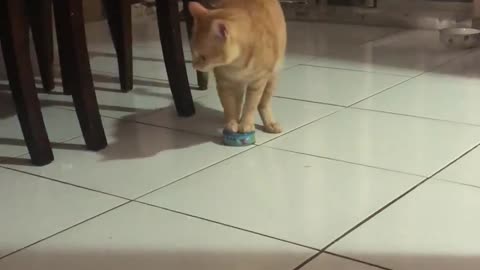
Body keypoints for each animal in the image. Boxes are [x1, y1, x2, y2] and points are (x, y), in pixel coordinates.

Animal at [188, 0, 284, 134]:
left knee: (262, 104)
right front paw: (232, 123)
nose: (193, 65)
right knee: (238, 104)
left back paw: (269, 123)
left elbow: (251, 105)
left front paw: (246, 124)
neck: (236, 65)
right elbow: (230, 107)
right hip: (238, 86)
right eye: (192, 52)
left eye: (203, 57)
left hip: (271, 80)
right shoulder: (225, 84)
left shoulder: (257, 83)